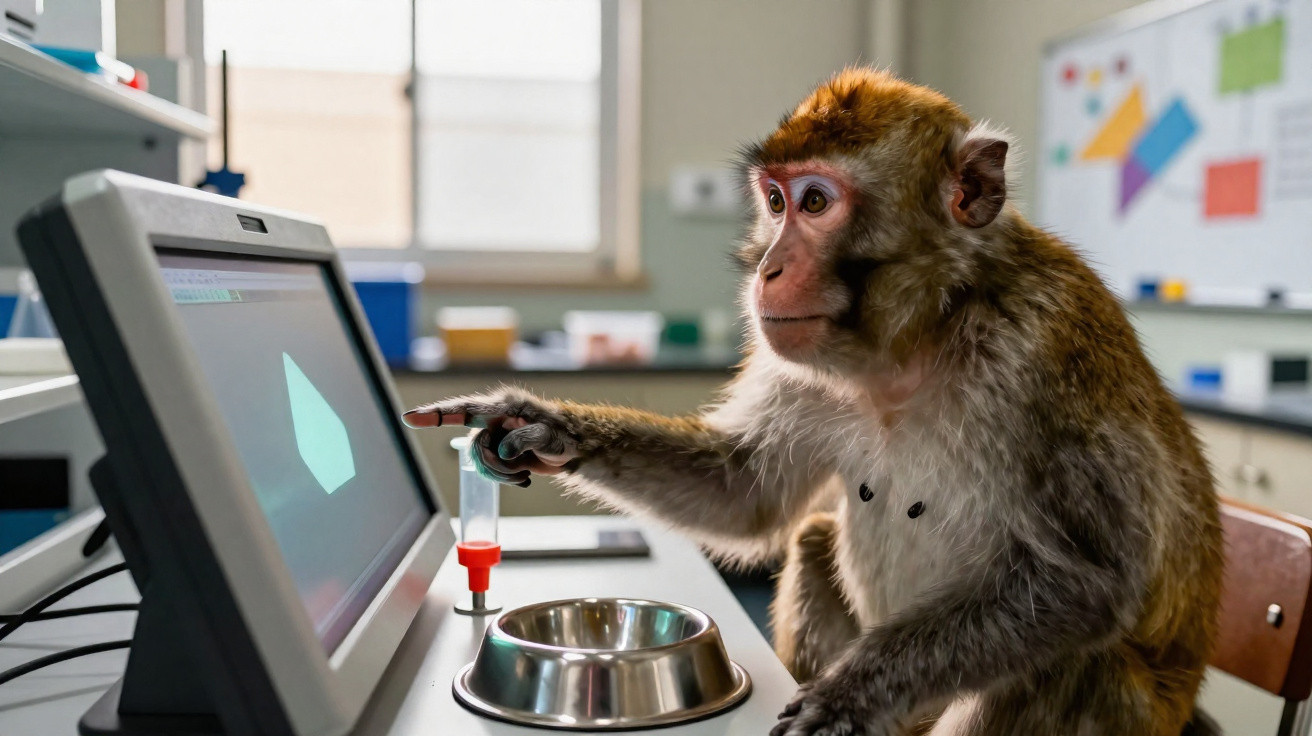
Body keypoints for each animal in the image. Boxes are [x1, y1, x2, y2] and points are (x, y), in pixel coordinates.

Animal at [403, 69, 1224, 736]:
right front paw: (539, 424)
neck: (920, 339)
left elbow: (1084, 580)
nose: (767, 267)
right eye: (774, 201)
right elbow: (743, 492)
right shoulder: (798, 366)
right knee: (811, 537)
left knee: (1070, 658)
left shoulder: (1041, 352)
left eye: (817, 201)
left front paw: (851, 694)